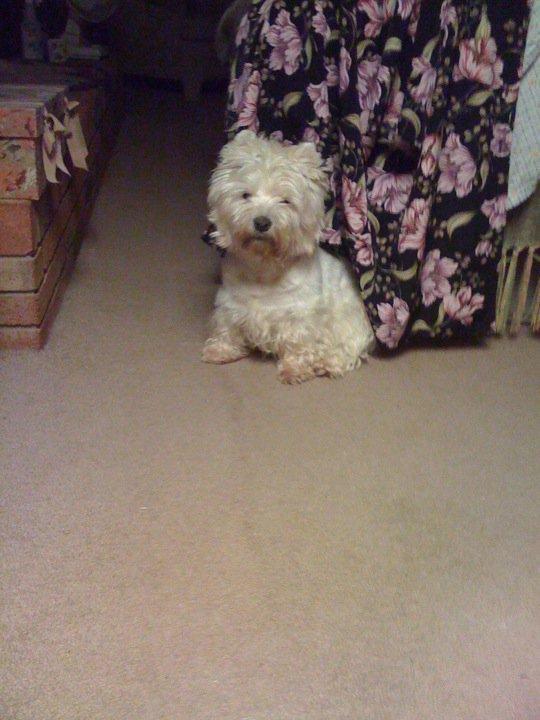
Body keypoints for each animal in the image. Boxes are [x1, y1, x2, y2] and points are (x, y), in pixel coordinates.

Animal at [202, 131, 375, 384]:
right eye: (245, 195)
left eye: (285, 200)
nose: (262, 222)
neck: (263, 268)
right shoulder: (230, 303)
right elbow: (227, 328)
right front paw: (219, 350)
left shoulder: (301, 316)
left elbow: (298, 343)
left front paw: (295, 369)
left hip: (350, 319)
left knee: (347, 348)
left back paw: (326, 364)